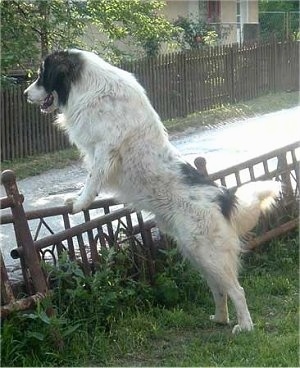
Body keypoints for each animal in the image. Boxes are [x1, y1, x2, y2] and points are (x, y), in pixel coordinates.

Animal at [24, 49, 282, 334]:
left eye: (41, 75)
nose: (24, 93)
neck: (88, 85)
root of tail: (224, 197)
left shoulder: (105, 150)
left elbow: (92, 178)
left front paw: (80, 203)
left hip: (208, 253)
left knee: (236, 289)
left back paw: (244, 325)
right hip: (196, 252)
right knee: (219, 289)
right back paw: (220, 318)